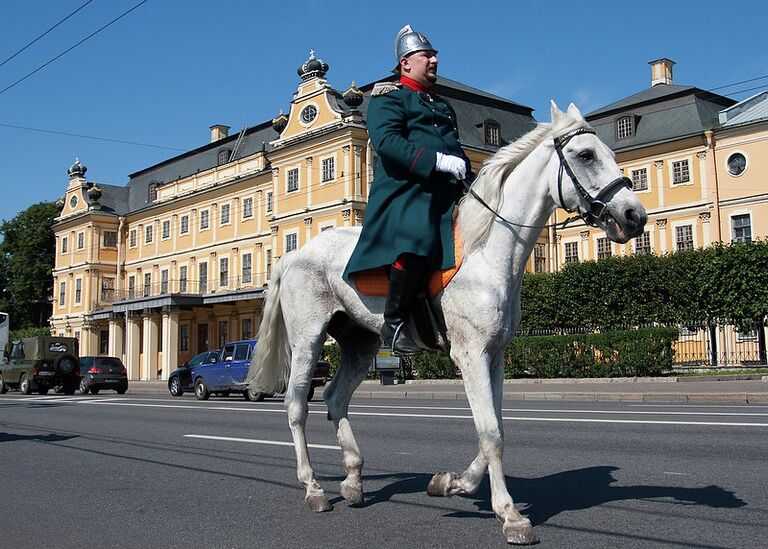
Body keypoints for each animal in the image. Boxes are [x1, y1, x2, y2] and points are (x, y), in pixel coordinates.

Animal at [246, 103, 648, 544]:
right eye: (586, 155)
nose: (635, 216)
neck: (485, 253)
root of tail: (293, 254)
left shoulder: (496, 356)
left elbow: (496, 427)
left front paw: (453, 483)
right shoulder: (470, 355)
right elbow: (491, 434)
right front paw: (510, 515)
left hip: (360, 343)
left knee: (335, 398)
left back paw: (353, 480)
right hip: (308, 340)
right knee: (297, 405)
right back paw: (314, 487)